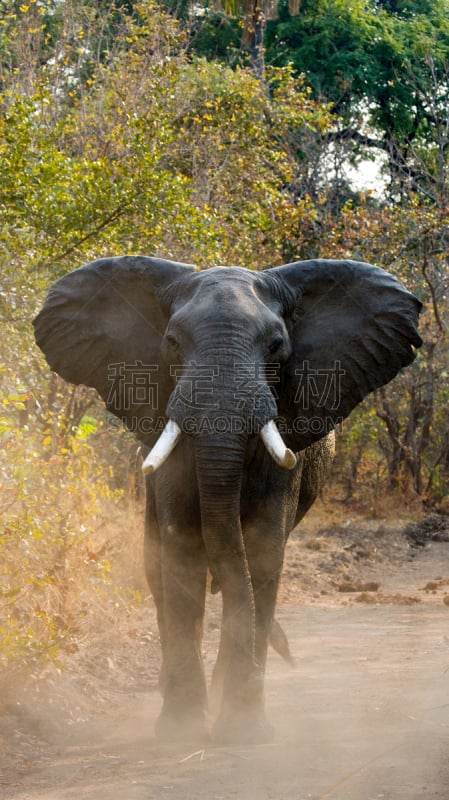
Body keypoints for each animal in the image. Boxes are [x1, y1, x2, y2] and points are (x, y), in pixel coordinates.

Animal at [34, 255, 420, 744]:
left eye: (276, 345)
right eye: (172, 342)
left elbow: (261, 551)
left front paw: (243, 730)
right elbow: (182, 549)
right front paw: (180, 731)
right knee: (156, 567)